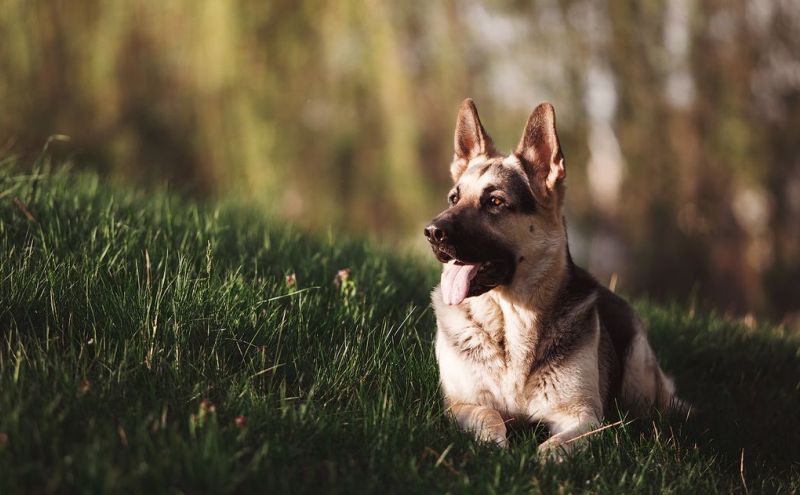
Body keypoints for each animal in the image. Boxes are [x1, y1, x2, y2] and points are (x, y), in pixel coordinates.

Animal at [424, 98, 680, 458]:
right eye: (454, 198)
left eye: (495, 202)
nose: (431, 232)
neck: (511, 318)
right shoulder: (461, 404)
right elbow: (490, 419)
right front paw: (496, 450)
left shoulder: (584, 417)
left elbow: (552, 449)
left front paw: (534, 461)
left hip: (638, 379)